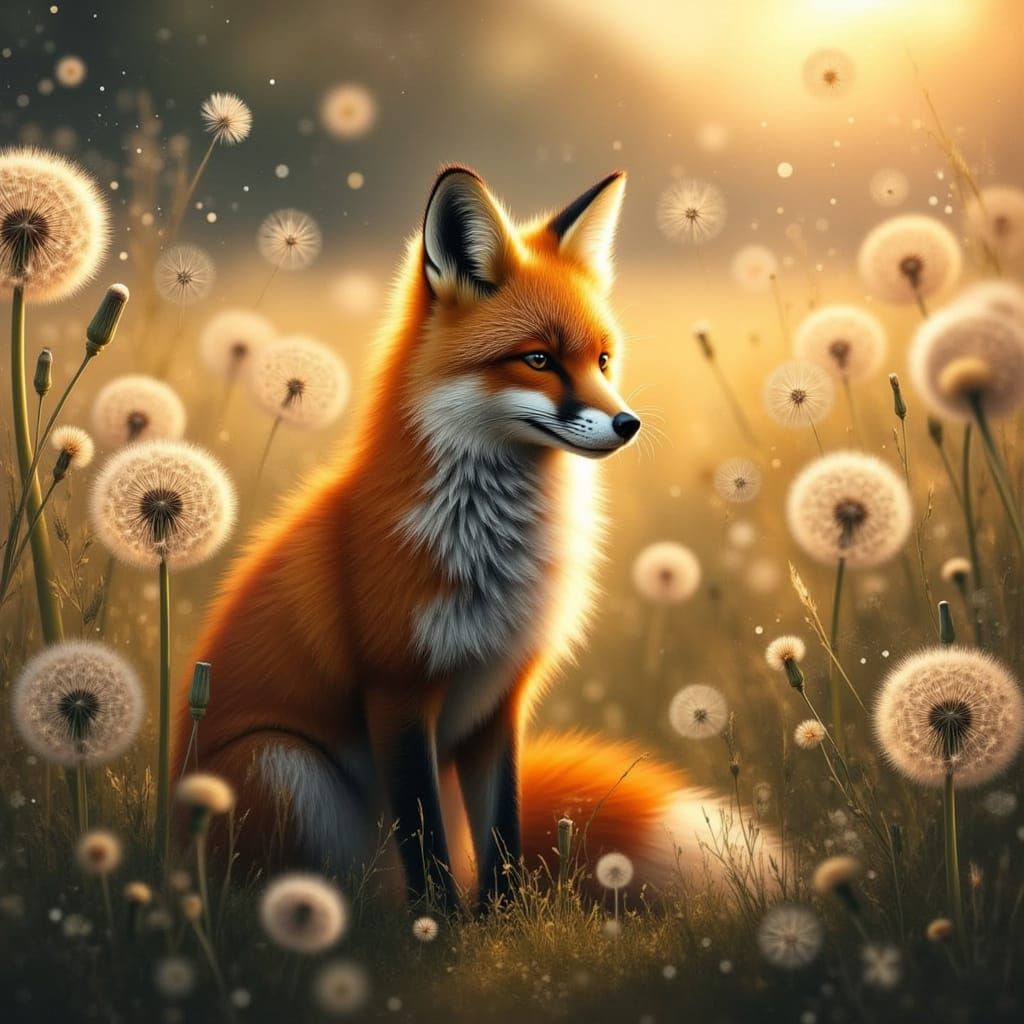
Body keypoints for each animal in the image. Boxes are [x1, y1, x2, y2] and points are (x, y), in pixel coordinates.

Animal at [172, 166, 737, 909]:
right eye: (538, 359)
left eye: (603, 359)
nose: (628, 424)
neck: (488, 553)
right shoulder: (399, 691)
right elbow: (425, 836)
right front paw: (439, 923)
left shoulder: (500, 696)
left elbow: (502, 828)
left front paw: (499, 919)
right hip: (280, 765)